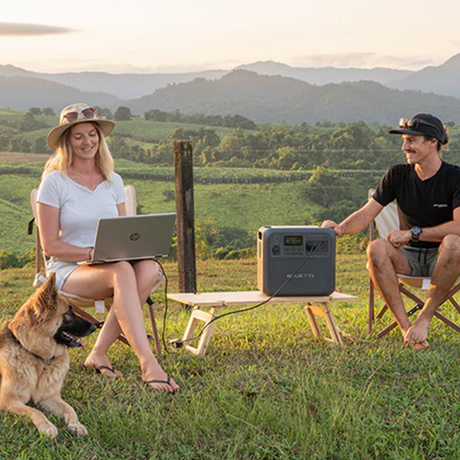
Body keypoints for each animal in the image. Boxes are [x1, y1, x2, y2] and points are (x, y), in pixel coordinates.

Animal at [0, 274, 95, 438]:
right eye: (68, 313)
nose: (96, 326)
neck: (38, 357)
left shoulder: (49, 397)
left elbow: (69, 408)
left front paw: (76, 425)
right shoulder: (8, 401)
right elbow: (34, 411)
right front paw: (47, 426)